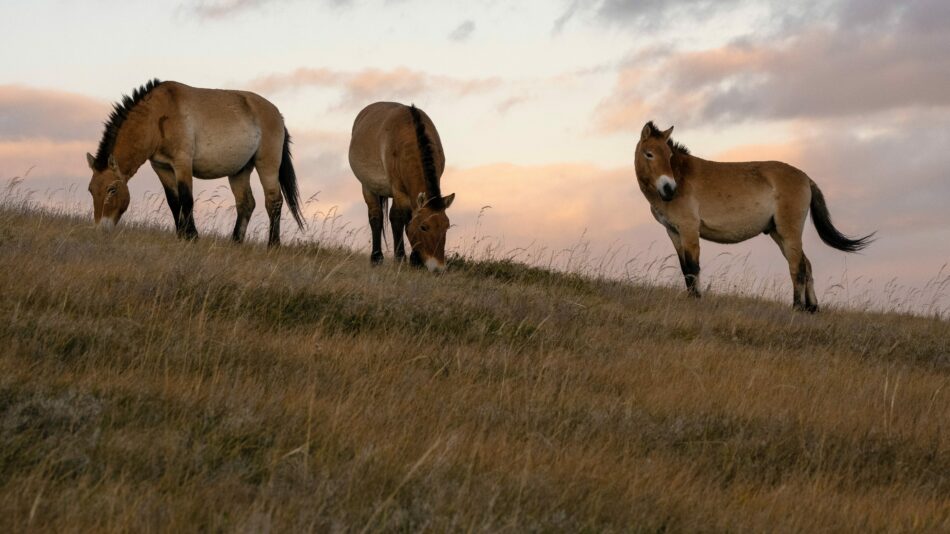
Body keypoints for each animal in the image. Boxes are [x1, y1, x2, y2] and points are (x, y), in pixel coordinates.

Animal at [85, 79, 304, 247]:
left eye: (112, 189)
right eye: (91, 190)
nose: (100, 229)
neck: (158, 117)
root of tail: (277, 114)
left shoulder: (182, 163)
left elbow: (186, 199)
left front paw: (192, 236)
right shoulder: (162, 168)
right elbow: (174, 202)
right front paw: (181, 235)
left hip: (267, 165)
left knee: (274, 201)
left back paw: (273, 245)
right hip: (239, 170)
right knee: (246, 203)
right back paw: (235, 242)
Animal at [350, 102, 458, 274]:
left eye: (446, 227)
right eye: (424, 227)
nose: (438, 269)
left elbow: (406, 220)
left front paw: (415, 260)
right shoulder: (399, 191)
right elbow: (399, 219)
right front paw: (401, 258)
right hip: (368, 188)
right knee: (376, 218)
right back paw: (376, 258)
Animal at [636, 121, 872, 314]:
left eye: (669, 156)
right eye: (649, 154)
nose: (669, 189)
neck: (682, 177)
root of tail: (806, 178)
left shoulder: (689, 230)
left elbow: (693, 268)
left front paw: (697, 300)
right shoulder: (674, 232)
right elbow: (685, 269)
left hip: (789, 232)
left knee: (797, 267)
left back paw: (797, 308)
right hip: (778, 234)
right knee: (806, 265)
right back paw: (812, 308)